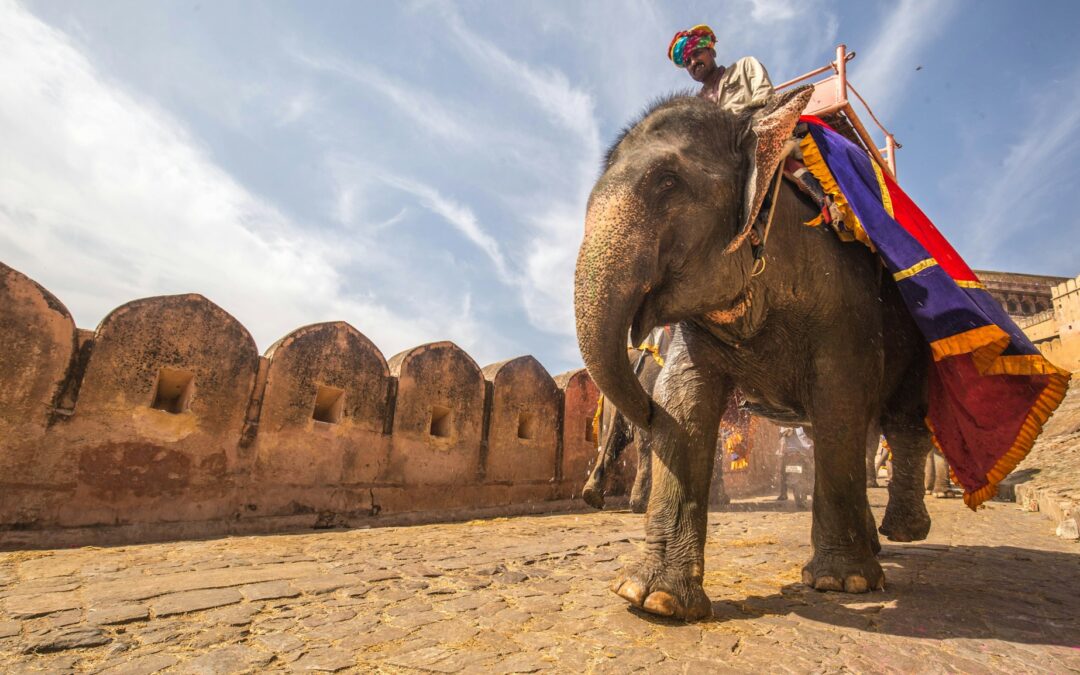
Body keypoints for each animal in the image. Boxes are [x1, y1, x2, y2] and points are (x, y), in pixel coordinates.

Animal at [574, 86, 936, 622]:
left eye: (668, 182)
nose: (643, 408)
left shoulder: (844, 299)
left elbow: (841, 401)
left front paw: (842, 583)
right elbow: (683, 402)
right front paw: (653, 599)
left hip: (914, 328)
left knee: (902, 421)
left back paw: (903, 533)